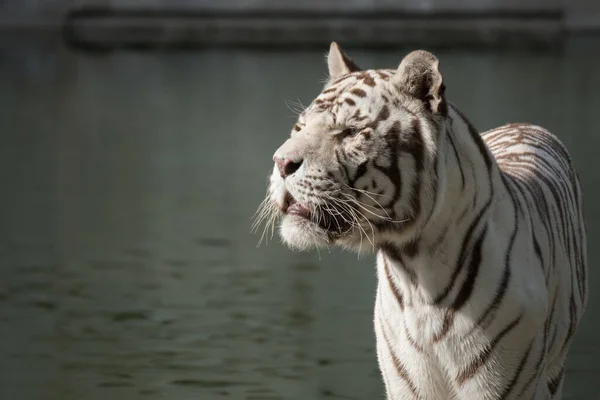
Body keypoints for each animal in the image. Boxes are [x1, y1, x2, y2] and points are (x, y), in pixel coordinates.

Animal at [255, 42, 588, 398]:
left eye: (351, 132)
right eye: (300, 128)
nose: (280, 162)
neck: (417, 275)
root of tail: (525, 124)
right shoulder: (405, 384)